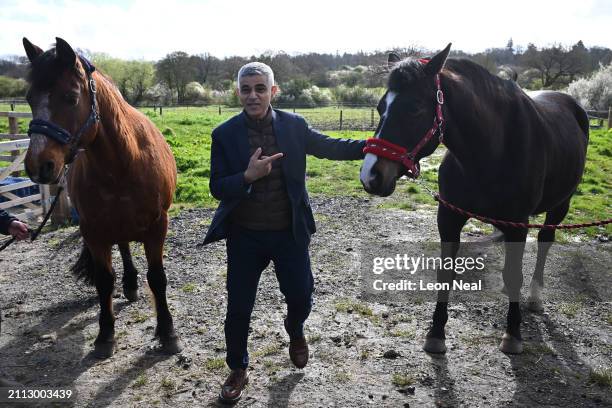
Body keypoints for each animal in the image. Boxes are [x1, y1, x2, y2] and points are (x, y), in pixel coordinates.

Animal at [21, 37, 179, 356]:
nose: (38, 166)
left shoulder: (158, 225)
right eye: (30, 98)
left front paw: (167, 332)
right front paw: (105, 335)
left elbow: (157, 278)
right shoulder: (93, 230)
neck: (124, 161)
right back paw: (129, 284)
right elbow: (105, 281)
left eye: (71, 97)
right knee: (123, 247)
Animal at [360, 42, 592, 354]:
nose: (371, 175)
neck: (492, 149)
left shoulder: (518, 224)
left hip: (560, 206)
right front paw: (436, 333)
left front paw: (513, 334)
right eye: (380, 107)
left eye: (416, 108)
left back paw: (534, 297)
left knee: (544, 242)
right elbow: (446, 273)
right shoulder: (449, 218)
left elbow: (515, 272)